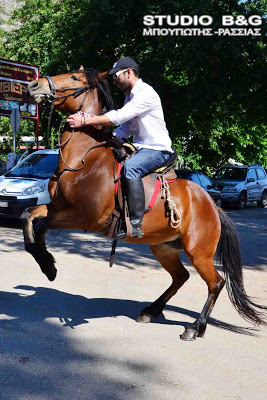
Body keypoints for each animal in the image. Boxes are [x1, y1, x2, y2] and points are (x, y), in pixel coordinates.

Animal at [23, 66, 267, 340]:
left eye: (75, 77)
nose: (33, 86)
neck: (83, 160)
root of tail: (213, 205)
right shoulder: (57, 208)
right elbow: (29, 216)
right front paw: (44, 261)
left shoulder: (83, 217)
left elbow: (41, 224)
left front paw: (49, 267)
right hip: (163, 247)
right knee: (181, 277)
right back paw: (152, 310)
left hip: (199, 252)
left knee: (216, 283)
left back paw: (196, 327)